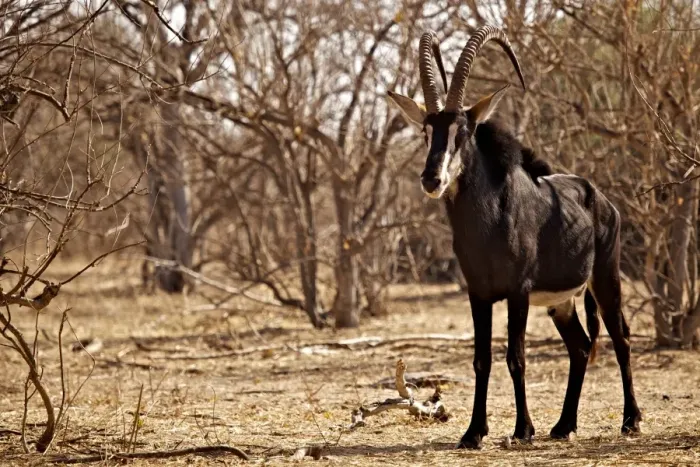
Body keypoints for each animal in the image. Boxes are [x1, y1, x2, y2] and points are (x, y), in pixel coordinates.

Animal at [388, 26, 641, 449]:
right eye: (426, 131)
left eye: (464, 131)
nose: (432, 179)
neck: (486, 223)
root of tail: (602, 199)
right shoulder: (478, 293)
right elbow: (482, 359)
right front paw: (474, 432)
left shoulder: (517, 292)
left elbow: (516, 358)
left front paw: (523, 429)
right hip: (562, 303)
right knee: (580, 347)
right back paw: (564, 425)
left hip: (605, 279)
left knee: (620, 338)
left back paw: (631, 420)